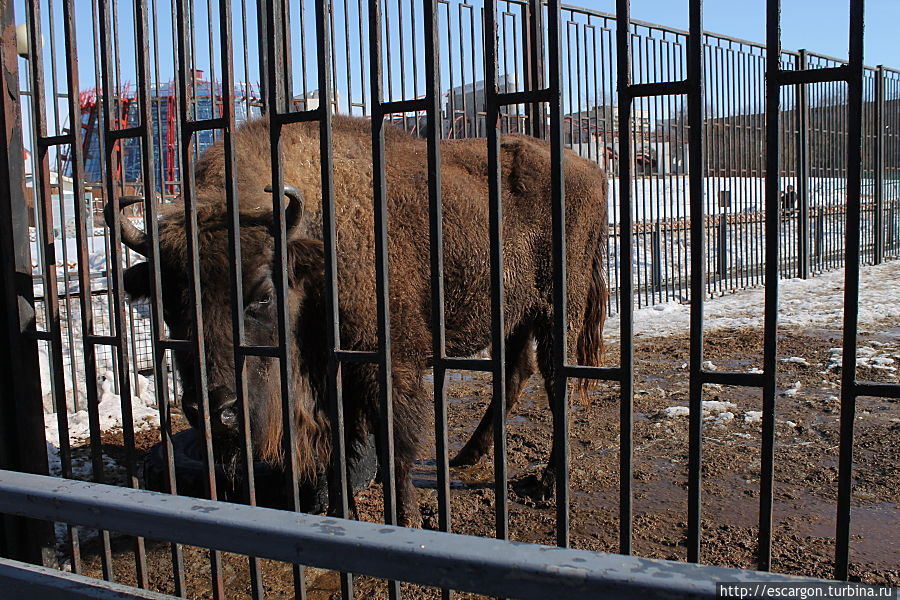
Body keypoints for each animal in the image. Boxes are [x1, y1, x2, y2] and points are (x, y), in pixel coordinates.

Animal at [110, 115, 604, 528]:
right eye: (167, 306)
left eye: (264, 294)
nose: (215, 410)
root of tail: (592, 171)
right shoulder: (332, 376)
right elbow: (340, 447)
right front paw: (339, 509)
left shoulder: (386, 364)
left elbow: (393, 444)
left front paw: (406, 517)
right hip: (515, 313)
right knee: (514, 372)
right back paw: (467, 455)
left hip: (558, 309)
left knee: (555, 380)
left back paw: (546, 484)